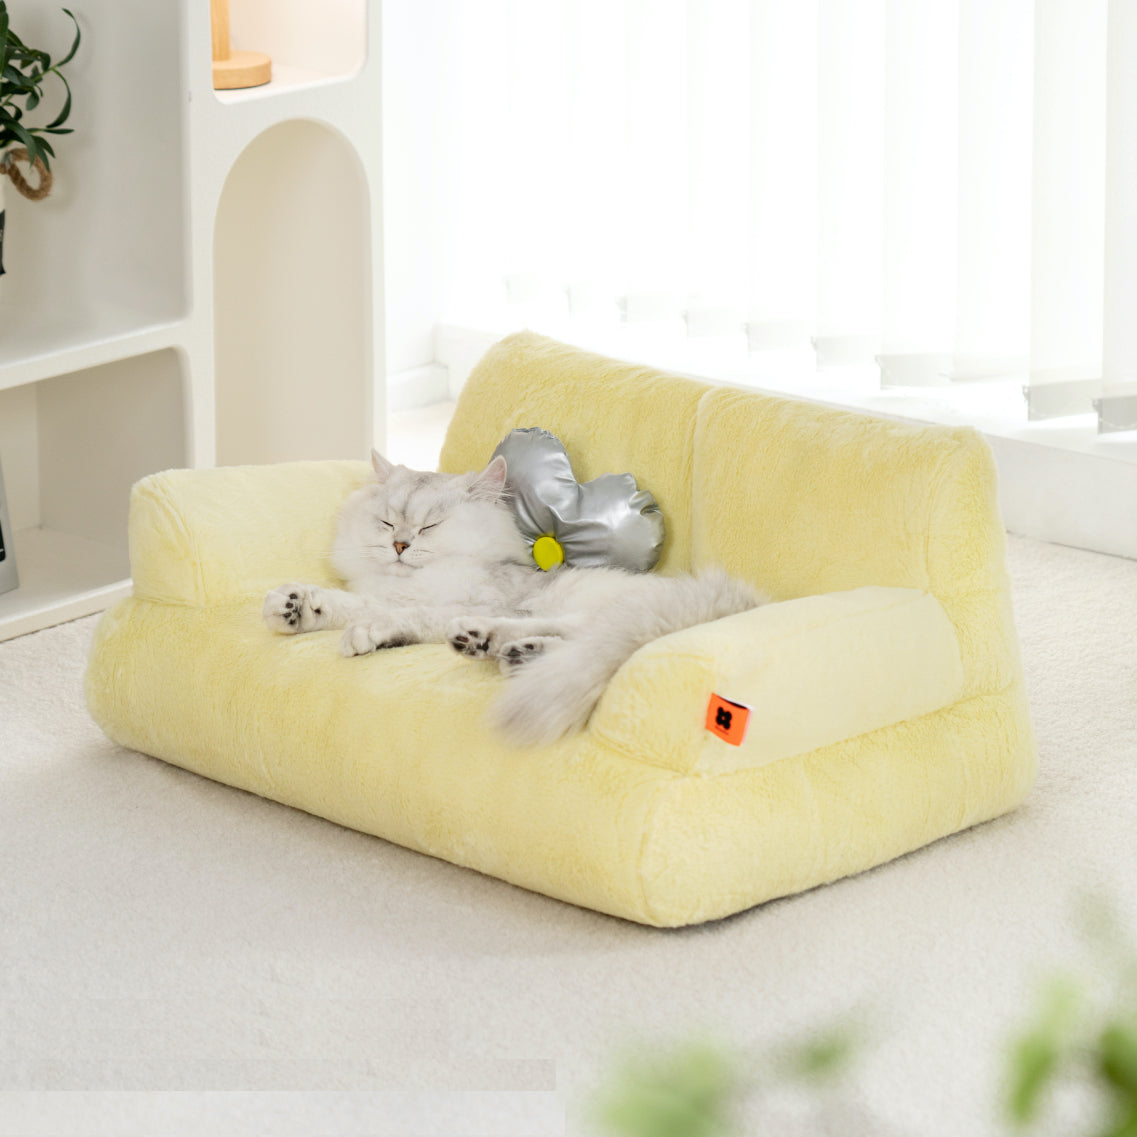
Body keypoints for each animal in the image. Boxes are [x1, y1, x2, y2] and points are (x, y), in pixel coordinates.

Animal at [261, 452, 768, 745]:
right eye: (387, 523)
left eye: (429, 527)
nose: (399, 546)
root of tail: (741, 600)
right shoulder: (386, 593)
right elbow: (350, 604)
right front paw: (294, 606)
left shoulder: (479, 600)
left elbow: (408, 615)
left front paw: (369, 631)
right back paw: (511, 653)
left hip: (603, 610)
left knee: (579, 638)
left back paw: (488, 644)